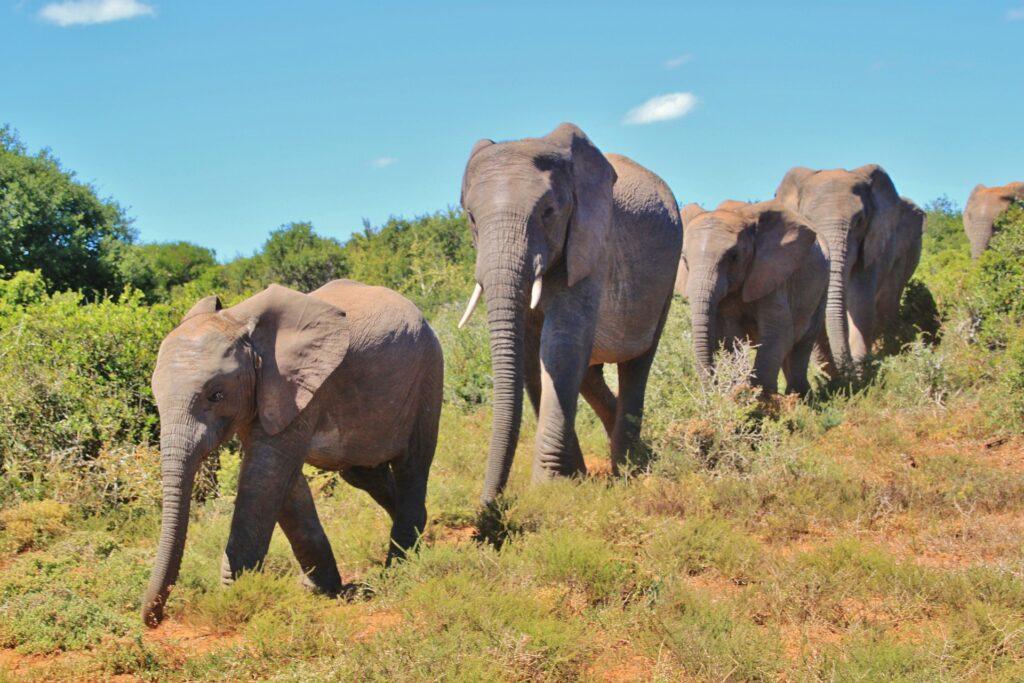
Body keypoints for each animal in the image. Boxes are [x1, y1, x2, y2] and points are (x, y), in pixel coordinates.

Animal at [138, 280, 442, 626]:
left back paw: (398, 567)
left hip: (428, 372)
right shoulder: (268, 394)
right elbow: (284, 485)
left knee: (412, 464)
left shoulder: (298, 386)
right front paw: (319, 590)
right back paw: (421, 534)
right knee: (362, 473)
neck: (241, 322)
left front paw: (236, 598)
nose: (154, 620)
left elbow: (265, 476)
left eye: (216, 395)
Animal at [460, 122, 684, 505]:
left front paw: (549, 487)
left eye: (548, 211)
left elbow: (561, 344)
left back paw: (629, 468)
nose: (491, 505)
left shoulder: (590, 242)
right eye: (471, 218)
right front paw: (572, 479)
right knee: (590, 372)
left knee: (637, 362)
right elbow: (532, 355)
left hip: (667, 274)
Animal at [679, 200, 831, 395]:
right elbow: (729, 335)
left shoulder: (772, 272)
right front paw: (738, 392)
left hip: (822, 287)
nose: (714, 389)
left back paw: (800, 396)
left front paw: (760, 397)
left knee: (802, 342)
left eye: (733, 257)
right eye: (684, 259)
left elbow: (778, 330)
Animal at [774, 163, 905, 374]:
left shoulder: (869, 246)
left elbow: (861, 302)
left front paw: (860, 372)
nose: (847, 367)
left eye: (859, 221)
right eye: (808, 221)